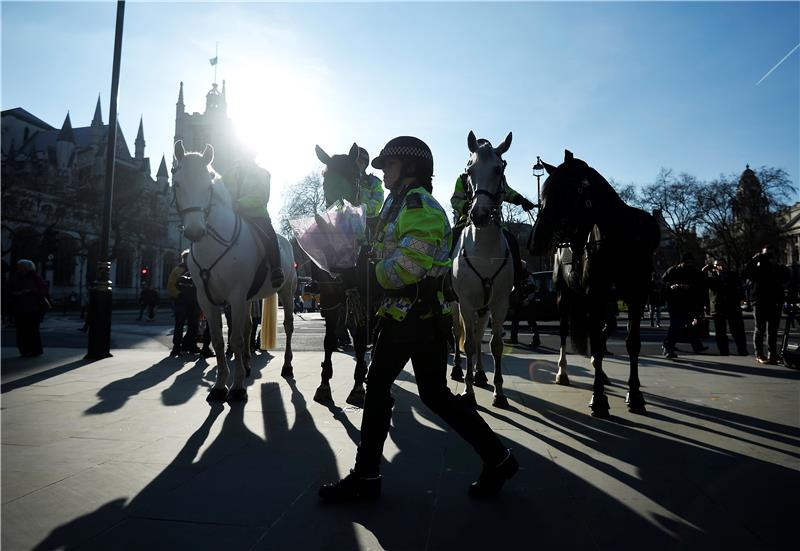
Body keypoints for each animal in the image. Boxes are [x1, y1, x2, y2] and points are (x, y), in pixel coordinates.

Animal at [172, 141, 296, 402]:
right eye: (177, 183)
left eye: (208, 186)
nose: (195, 231)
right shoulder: (207, 299)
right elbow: (219, 341)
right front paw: (220, 386)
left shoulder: (236, 296)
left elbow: (236, 340)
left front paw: (237, 388)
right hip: (248, 298)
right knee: (248, 326)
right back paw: (247, 366)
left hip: (287, 292)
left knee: (288, 326)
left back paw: (287, 366)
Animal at [532, 151, 656, 418]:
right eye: (542, 195)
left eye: (563, 192)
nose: (535, 241)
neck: (619, 242)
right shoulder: (595, 296)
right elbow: (597, 345)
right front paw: (598, 399)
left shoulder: (636, 297)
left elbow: (632, 344)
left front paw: (635, 395)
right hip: (564, 295)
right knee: (565, 331)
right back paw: (563, 372)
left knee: (601, 328)